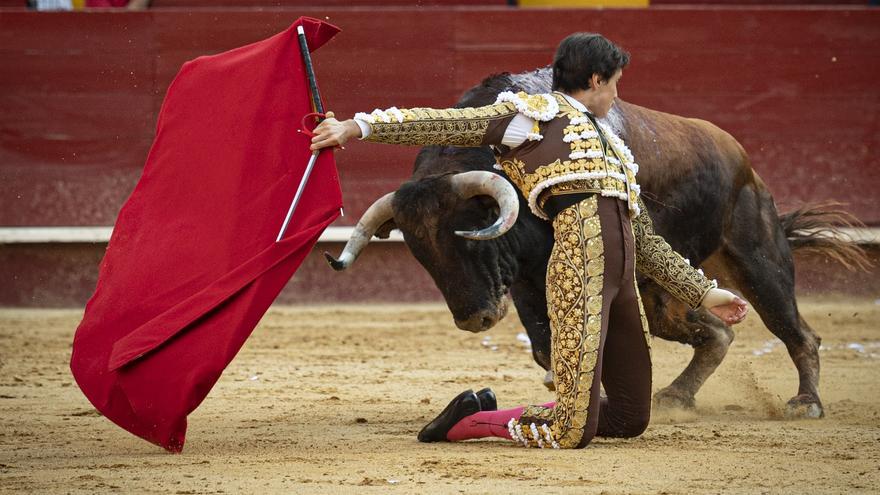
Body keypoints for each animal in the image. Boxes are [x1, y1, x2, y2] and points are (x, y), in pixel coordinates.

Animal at [324, 68, 868, 420]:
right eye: (422, 257)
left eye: (470, 240)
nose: (474, 320)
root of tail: (744, 162)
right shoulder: (526, 283)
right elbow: (544, 345)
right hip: (661, 292)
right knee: (716, 332)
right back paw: (675, 398)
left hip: (756, 257)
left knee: (796, 331)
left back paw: (807, 403)